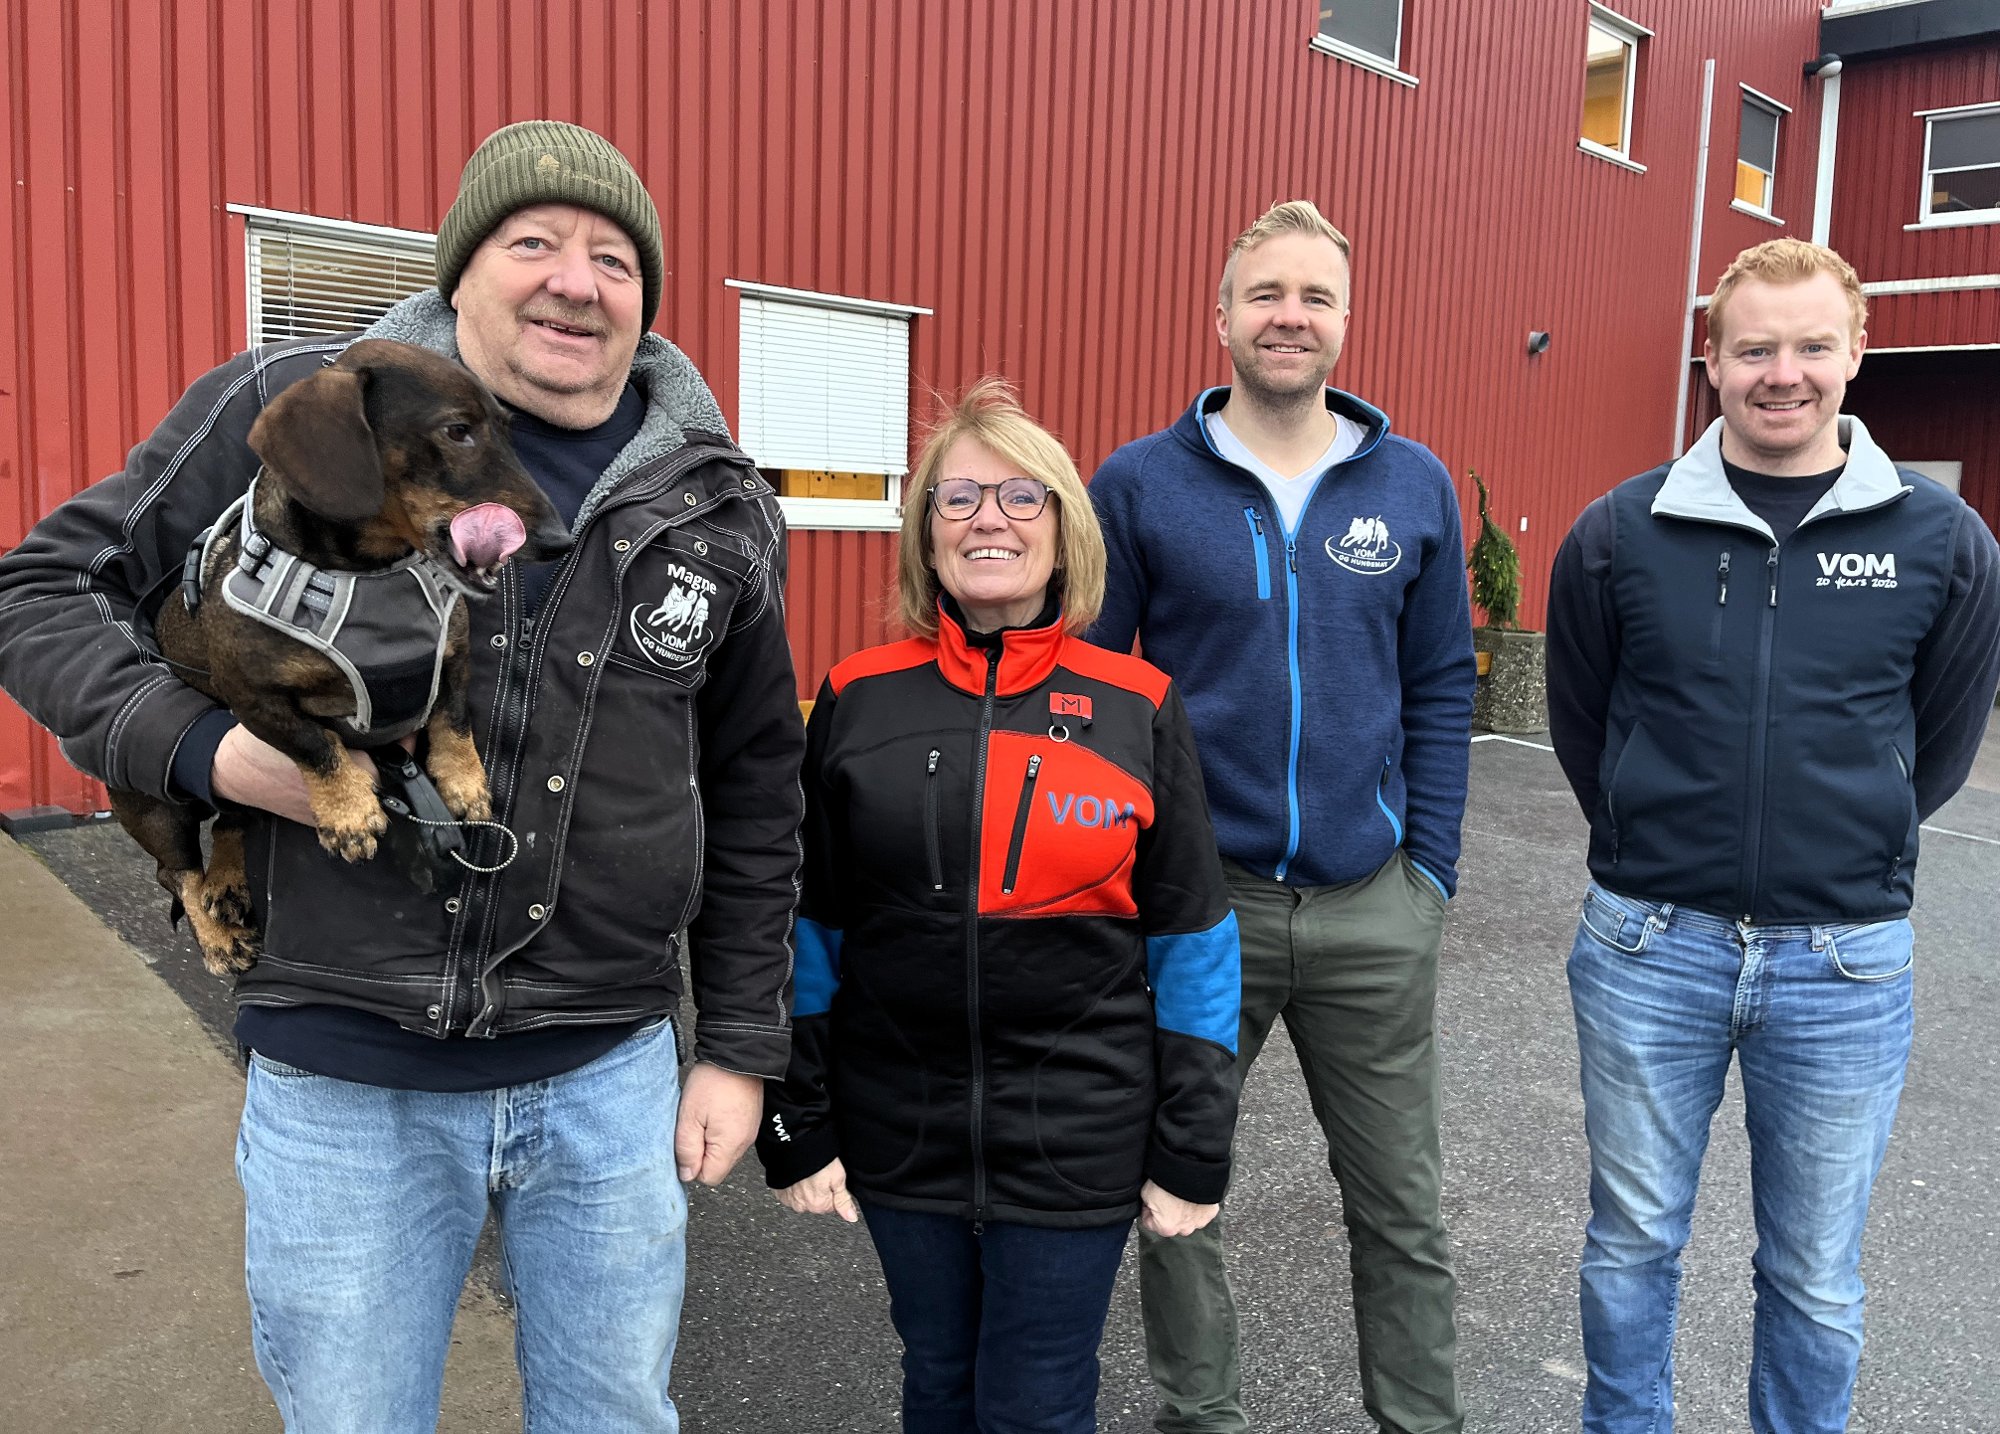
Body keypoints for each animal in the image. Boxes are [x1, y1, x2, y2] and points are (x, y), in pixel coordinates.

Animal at [110, 339, 571, 976]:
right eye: (457, 431)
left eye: (507, 429)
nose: (558, 540)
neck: (367, 576)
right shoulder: (255, 700)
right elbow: (316, 742)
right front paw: (348, 810)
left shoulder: (451, 659)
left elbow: (453, 720)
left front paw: (465, 782)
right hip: (153, 803)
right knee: (176, 870)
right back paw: (217, 931)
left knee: (232, 818)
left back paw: (229, 882)